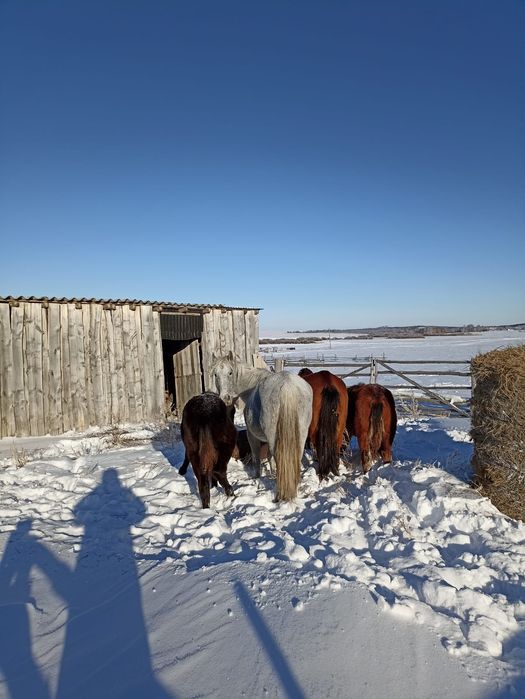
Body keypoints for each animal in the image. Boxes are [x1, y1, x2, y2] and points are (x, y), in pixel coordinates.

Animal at [211, 354, 313, 501]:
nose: (225, 398)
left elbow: (256, 457)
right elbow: (270, 457)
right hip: (300, 436)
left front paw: (257, 477)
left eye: (230, 373)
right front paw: (271, 473)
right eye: (215, 374)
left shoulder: (252, 435)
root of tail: (288, 386)